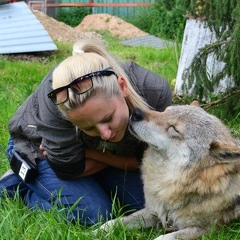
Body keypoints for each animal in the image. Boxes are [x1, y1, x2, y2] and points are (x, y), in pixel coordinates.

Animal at [96, 104, 240, 240]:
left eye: (174, 128)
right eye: (164, 111)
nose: (136, 112)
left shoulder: (206, 230)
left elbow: (163, 237)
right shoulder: (154, 210)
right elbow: (115, 222)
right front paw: (96, 232)